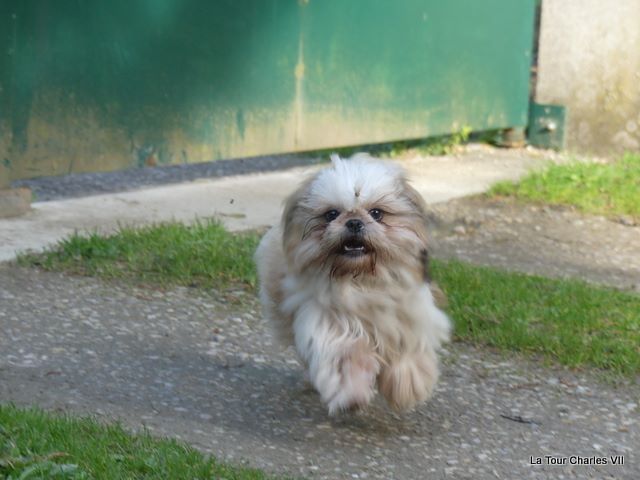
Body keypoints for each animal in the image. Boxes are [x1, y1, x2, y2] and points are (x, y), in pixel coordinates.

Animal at [255, 155, 450, 416]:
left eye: (376, 213)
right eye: (331, 214)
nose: (355, 222)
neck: (362, 280)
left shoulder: (408, 317)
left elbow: (406, 349)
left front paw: (407, 388)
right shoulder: (328, 326)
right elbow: (347, 356)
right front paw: (352, 394)